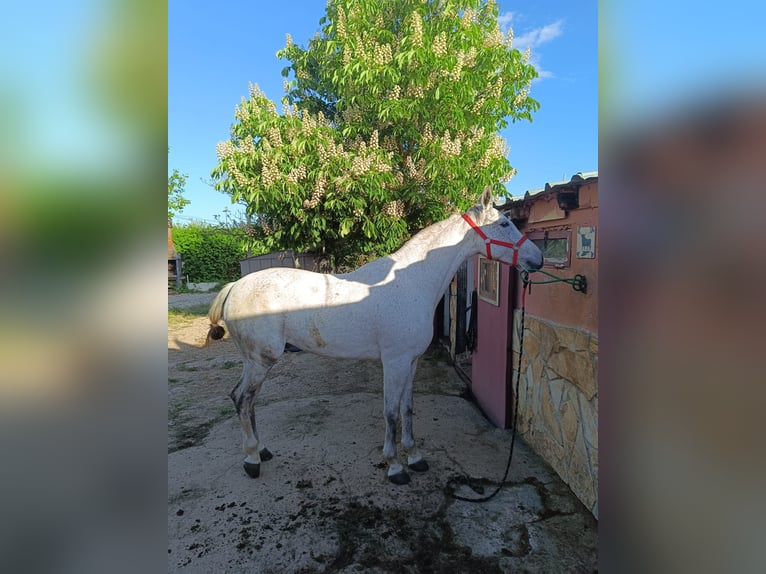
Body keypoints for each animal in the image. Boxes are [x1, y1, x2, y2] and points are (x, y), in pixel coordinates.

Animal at [207, 190, 544, 486]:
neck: (412, 282)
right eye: (504, 224)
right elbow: (391, 413)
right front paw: (395, 467)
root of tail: (235, 286)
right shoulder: (394, 363)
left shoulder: (411, 362)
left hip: (255, 361)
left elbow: (407, 410)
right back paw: (252, 460)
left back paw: (262, 451)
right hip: (261, 360)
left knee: (245, 400)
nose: (538, 258)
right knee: (242, 399)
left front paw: (415, 457)